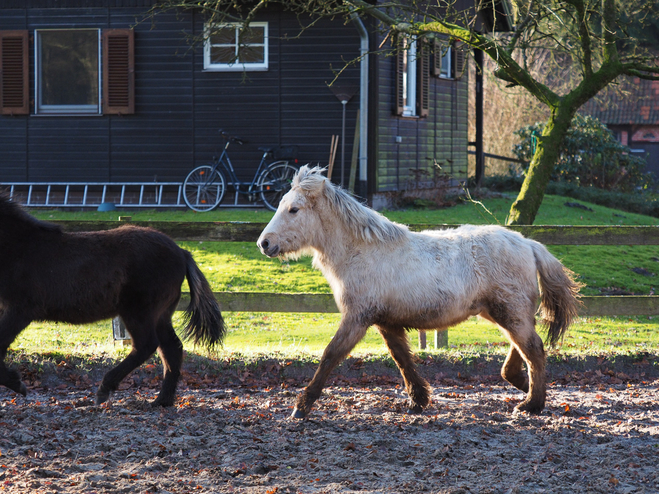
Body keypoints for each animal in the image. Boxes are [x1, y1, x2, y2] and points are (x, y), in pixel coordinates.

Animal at [0, 195, 224, 408]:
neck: (20, 247)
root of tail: (182, 252)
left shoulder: (20, 310)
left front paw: (17, 383)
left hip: (138, 312)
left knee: (146, 345)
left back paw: (105, 389)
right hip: (160, 315)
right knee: (171, 348)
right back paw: (162, 401)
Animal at [258, 166, 584, 416]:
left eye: (293, 209)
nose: (264, 243)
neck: (362, 251)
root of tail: (528, 243)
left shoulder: (357, 318)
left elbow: (330, 355)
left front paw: (301, 407)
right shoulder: (385, 322)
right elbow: (402, 359)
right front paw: (419, 400)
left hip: (509, 312)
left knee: (535, 349)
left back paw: (532, 404)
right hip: (501, 313)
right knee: (524, 348)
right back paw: (527, 389)